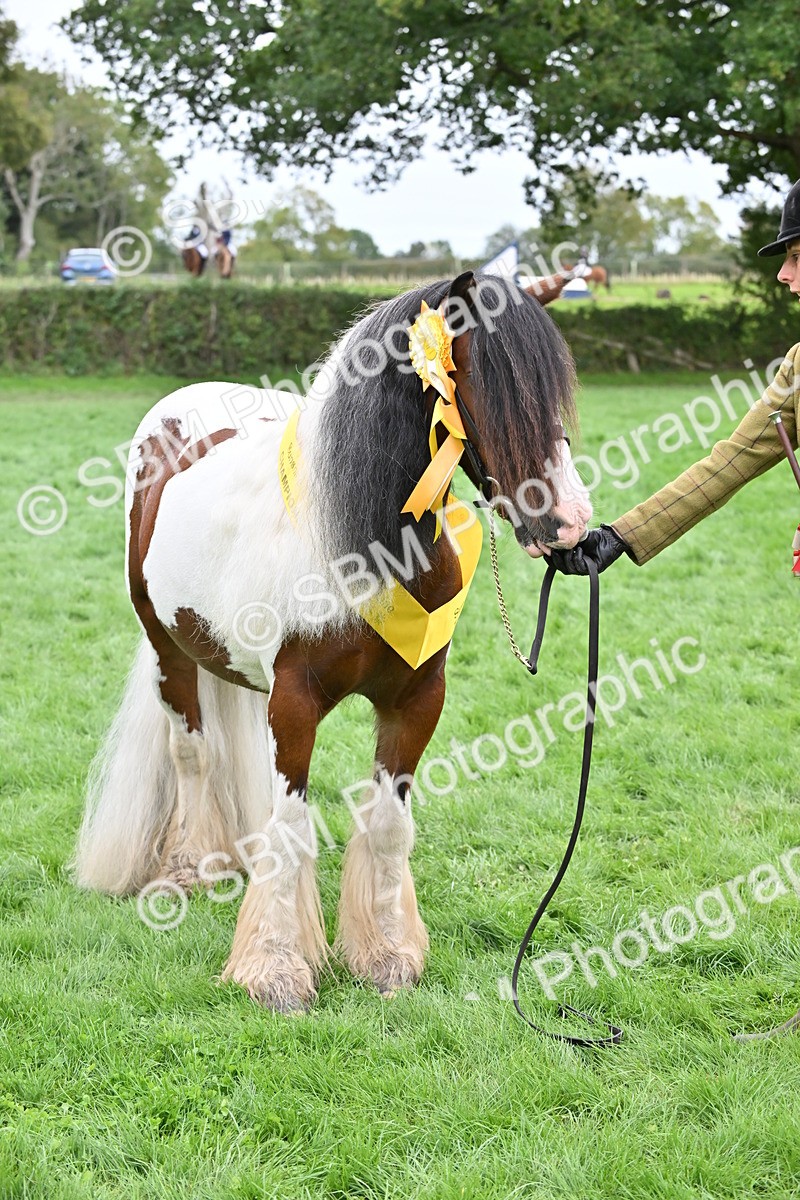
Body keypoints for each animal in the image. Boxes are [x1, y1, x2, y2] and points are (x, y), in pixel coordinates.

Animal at [74, 271, 592, 1011]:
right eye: (484, 384)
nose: (571, 522)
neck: (363, 545)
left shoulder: (416, 700)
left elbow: (389, 825)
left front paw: (388, 957)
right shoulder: (292, 704)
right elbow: (290, 828)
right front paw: (275, 971)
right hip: (169, 648)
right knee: (193, 753)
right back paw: (194, 866)